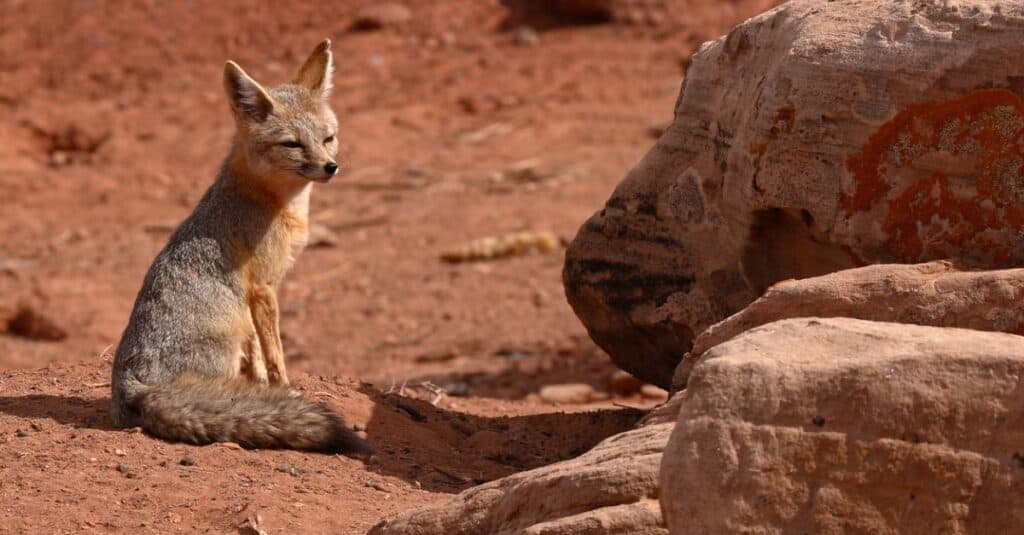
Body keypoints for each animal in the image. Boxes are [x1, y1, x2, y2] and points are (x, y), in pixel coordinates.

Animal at [110, 39, 372, 450]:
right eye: (292, 144)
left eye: (328, 138)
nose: (331, 167)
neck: (273, 202)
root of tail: (132, 387)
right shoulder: (263, 286)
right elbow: (275, 353)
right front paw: (283, 389)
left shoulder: (248, 296)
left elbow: (258, 356)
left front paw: (263, 388)